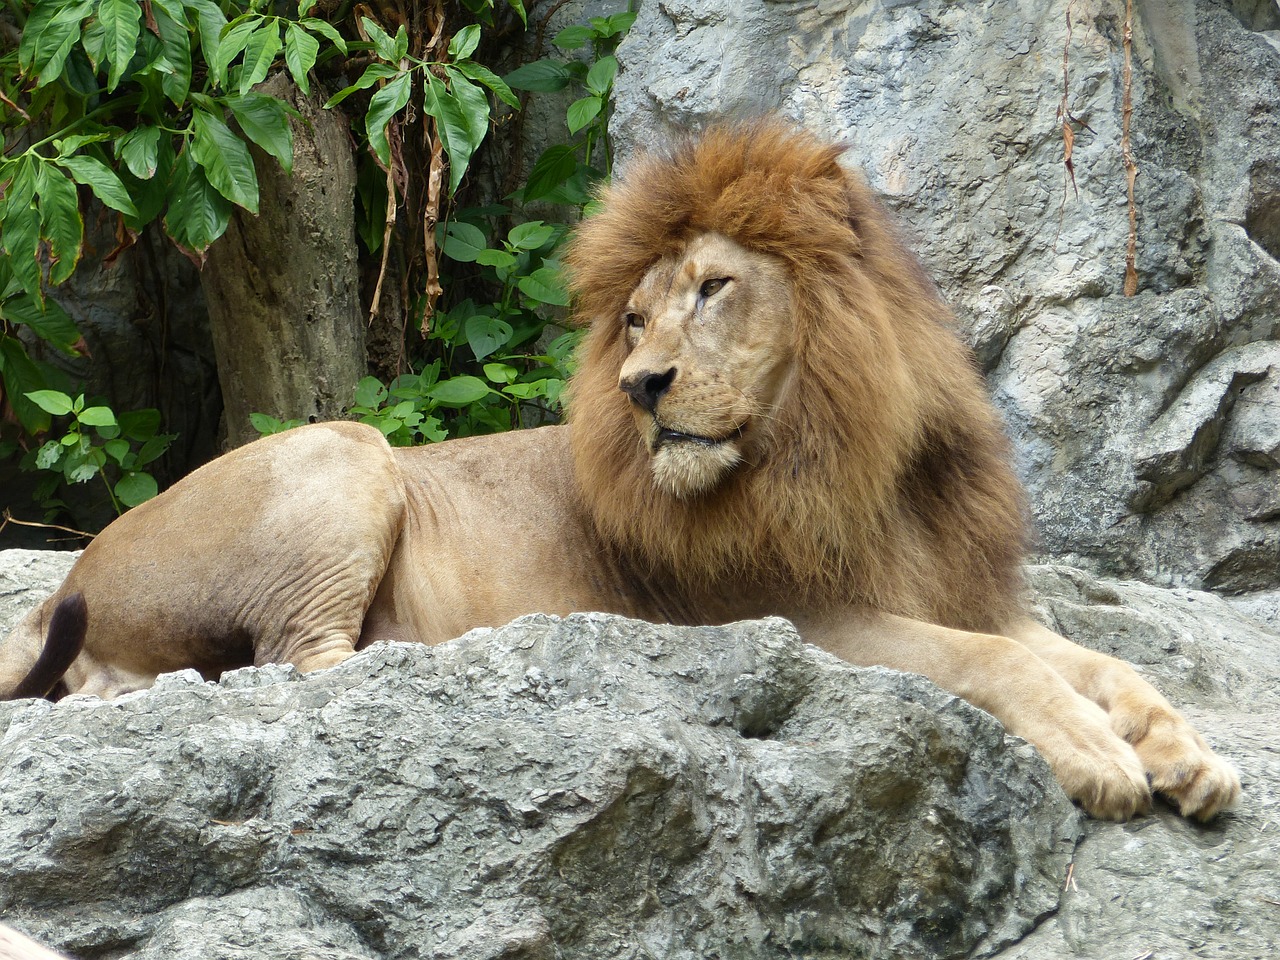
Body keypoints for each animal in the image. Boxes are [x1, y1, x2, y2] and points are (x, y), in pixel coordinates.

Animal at [0, 120, 1239, 824]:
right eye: (634, 318)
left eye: (712, 289)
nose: (642, 386)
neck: (849, 452)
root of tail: (68, 584)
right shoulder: (793, 613)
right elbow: (997, 664)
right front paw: (1099, 758)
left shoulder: (956, 583)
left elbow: (1104, 661)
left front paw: (1187, 755)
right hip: (346, 450)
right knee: (297, 665)